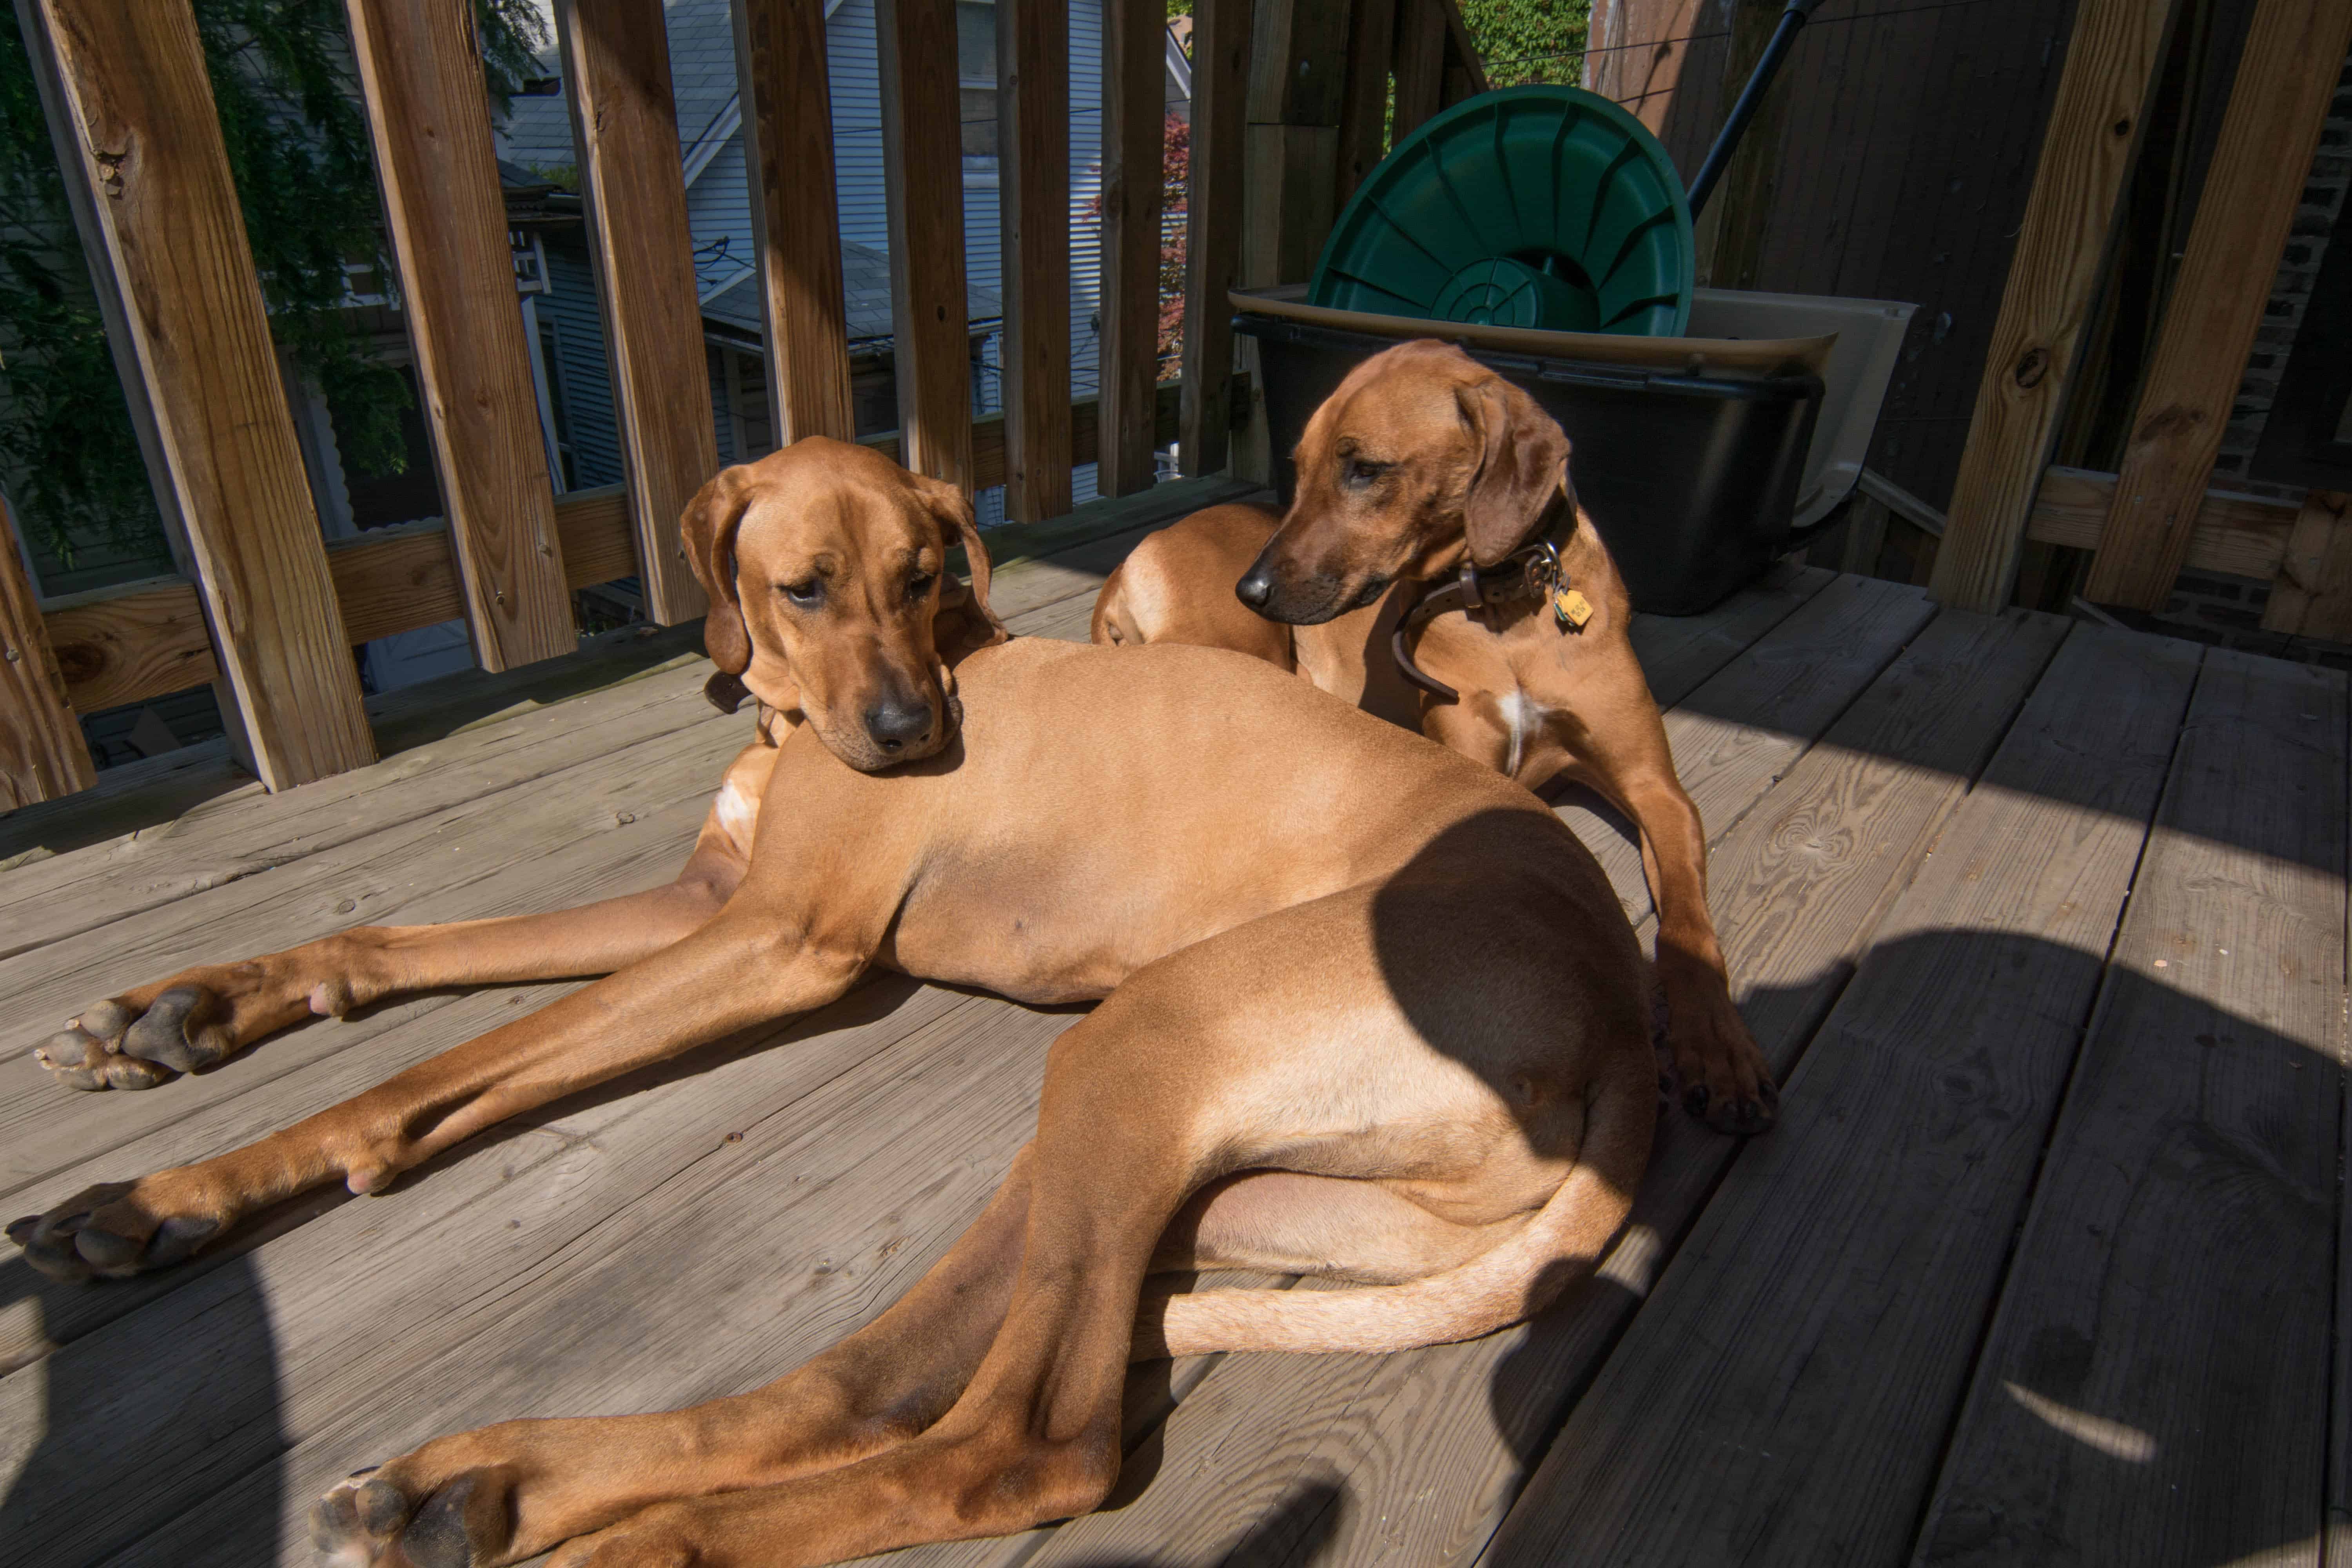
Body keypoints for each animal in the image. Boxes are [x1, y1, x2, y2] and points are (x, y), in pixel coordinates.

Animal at [9, 439, 1656, 1568]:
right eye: (802, 585)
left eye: (929, 576)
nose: (912, 733)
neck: (800, 712)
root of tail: (1618, 998)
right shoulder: (708, 907)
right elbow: (411, 944)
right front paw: (185, 1027)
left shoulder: (781, 939)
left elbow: (471, 1058)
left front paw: (202, 1169)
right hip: (1172, 1151)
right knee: (872, 1386)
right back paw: (491, 1485)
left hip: (1141, 1047)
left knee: (1017, 1444)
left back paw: (630, 1540)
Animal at [1091, 338, 1769, 1133]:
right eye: (1299, 465)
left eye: (1364, 469)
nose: (1250, 589)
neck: (1510, 607)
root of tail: (1129, 560)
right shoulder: (1477, 767)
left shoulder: (1656, 790)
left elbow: (1689, 924)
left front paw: (1719, 1048)